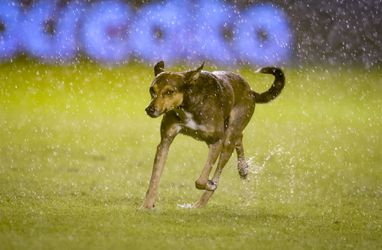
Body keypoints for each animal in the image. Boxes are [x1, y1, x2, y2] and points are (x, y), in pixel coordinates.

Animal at [143, 61, 284, 208]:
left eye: (169, 92)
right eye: (152, 90)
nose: (149, 109)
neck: (189, 103)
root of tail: (250, 91)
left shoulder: (217, 141)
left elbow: (202, 179)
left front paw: (210, 184)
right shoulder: (165, 142)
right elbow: (155, 177)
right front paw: (147, 205)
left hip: (228, 138)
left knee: (220, 168)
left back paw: (202, 200)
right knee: (239, 139)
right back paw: (242, 168)